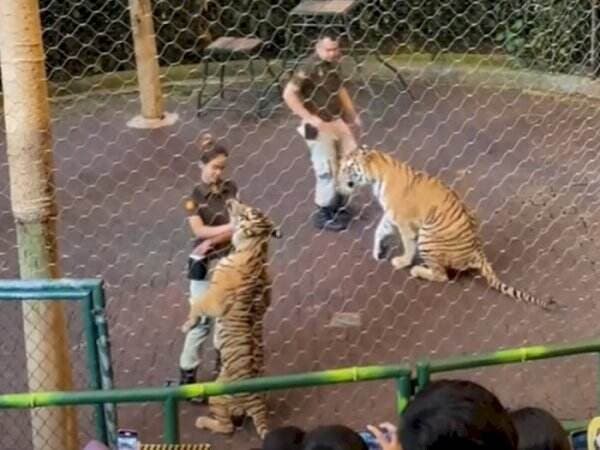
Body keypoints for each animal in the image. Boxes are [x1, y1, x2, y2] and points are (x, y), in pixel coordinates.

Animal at [180, 199, 282, 438]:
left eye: (245, 213)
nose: (230, 200)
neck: (256, 248)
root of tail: (256, 401)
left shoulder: (215, 298)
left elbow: (199, 304)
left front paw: (187, 322)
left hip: (218, 397)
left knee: (226, 428)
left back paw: (202, 421)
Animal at [340, 146, 560, 312]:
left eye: (348, 167)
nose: (339, 177)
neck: (377, 173)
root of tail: (478, 251)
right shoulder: (391, 216)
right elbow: (379, 230)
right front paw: (377, 251)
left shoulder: (403, 221)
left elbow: (407, 245)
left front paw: (402, 262)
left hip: (428, 236)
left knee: (442, 275)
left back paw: (418, 270)